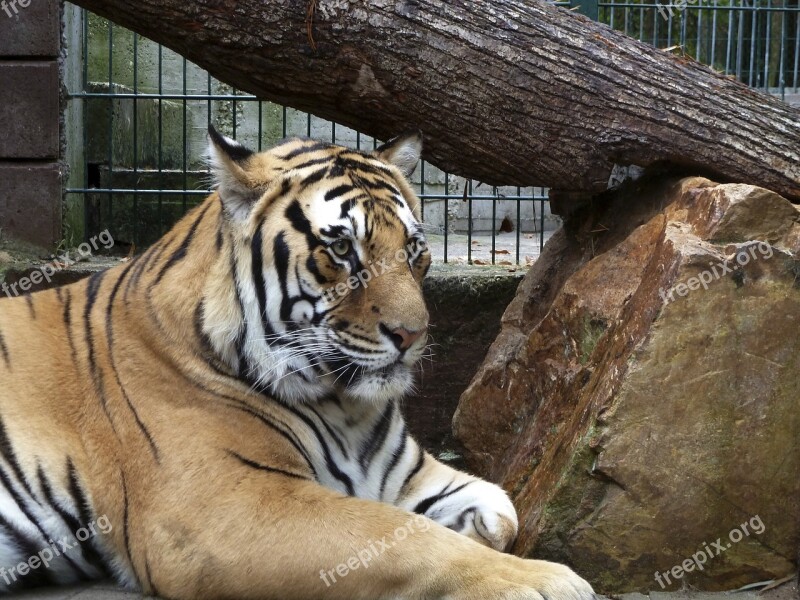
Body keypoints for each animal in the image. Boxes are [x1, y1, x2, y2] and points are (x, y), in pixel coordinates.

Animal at [0, 127, 592, 600]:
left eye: (414, 250)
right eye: (343, 251)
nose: (412, 334)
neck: (343, 403)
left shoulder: (403, 472)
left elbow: (499, 508)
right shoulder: (222, 509)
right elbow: (399, 539)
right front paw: (543, 580)